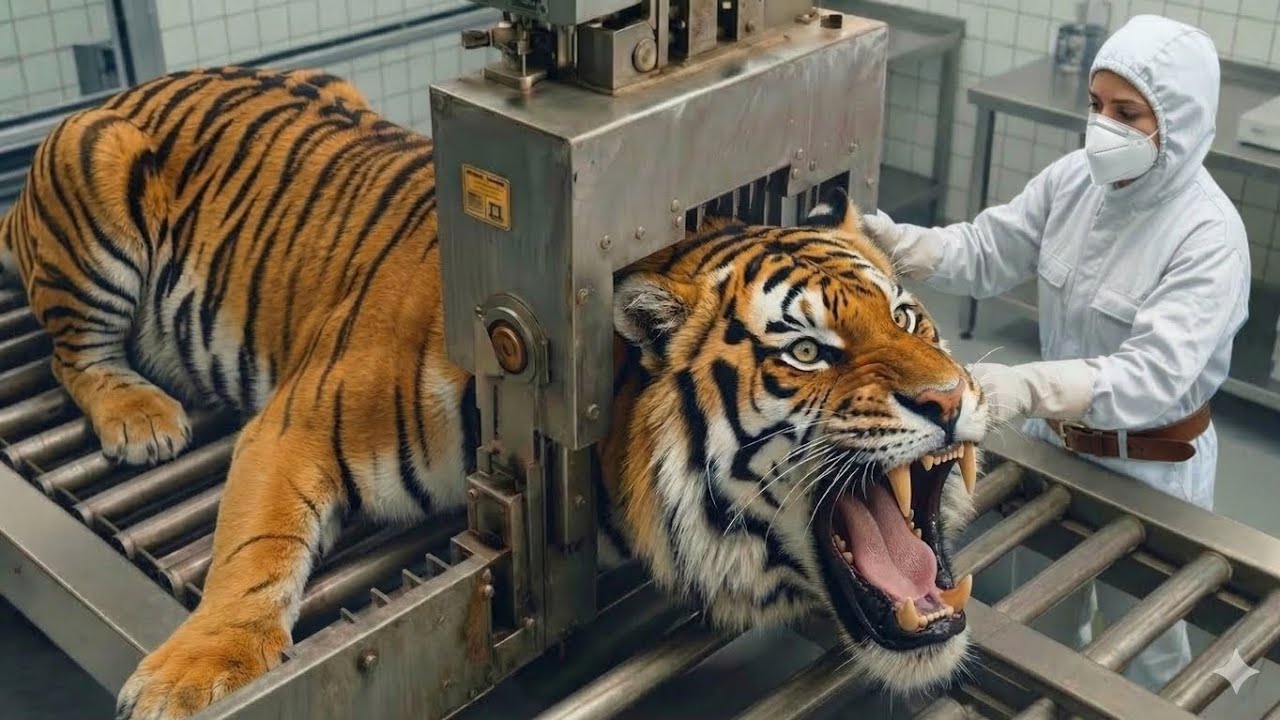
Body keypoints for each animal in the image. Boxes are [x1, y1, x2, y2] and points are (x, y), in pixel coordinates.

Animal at [0, 67, 991, 720]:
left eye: (909, 317)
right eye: (810, 351)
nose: (952, 399)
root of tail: (122, 95)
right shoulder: (293, 427)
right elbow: (255, 549)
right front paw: (188, 677)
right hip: (96, 195)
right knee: (72, 351)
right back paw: (141, 418)